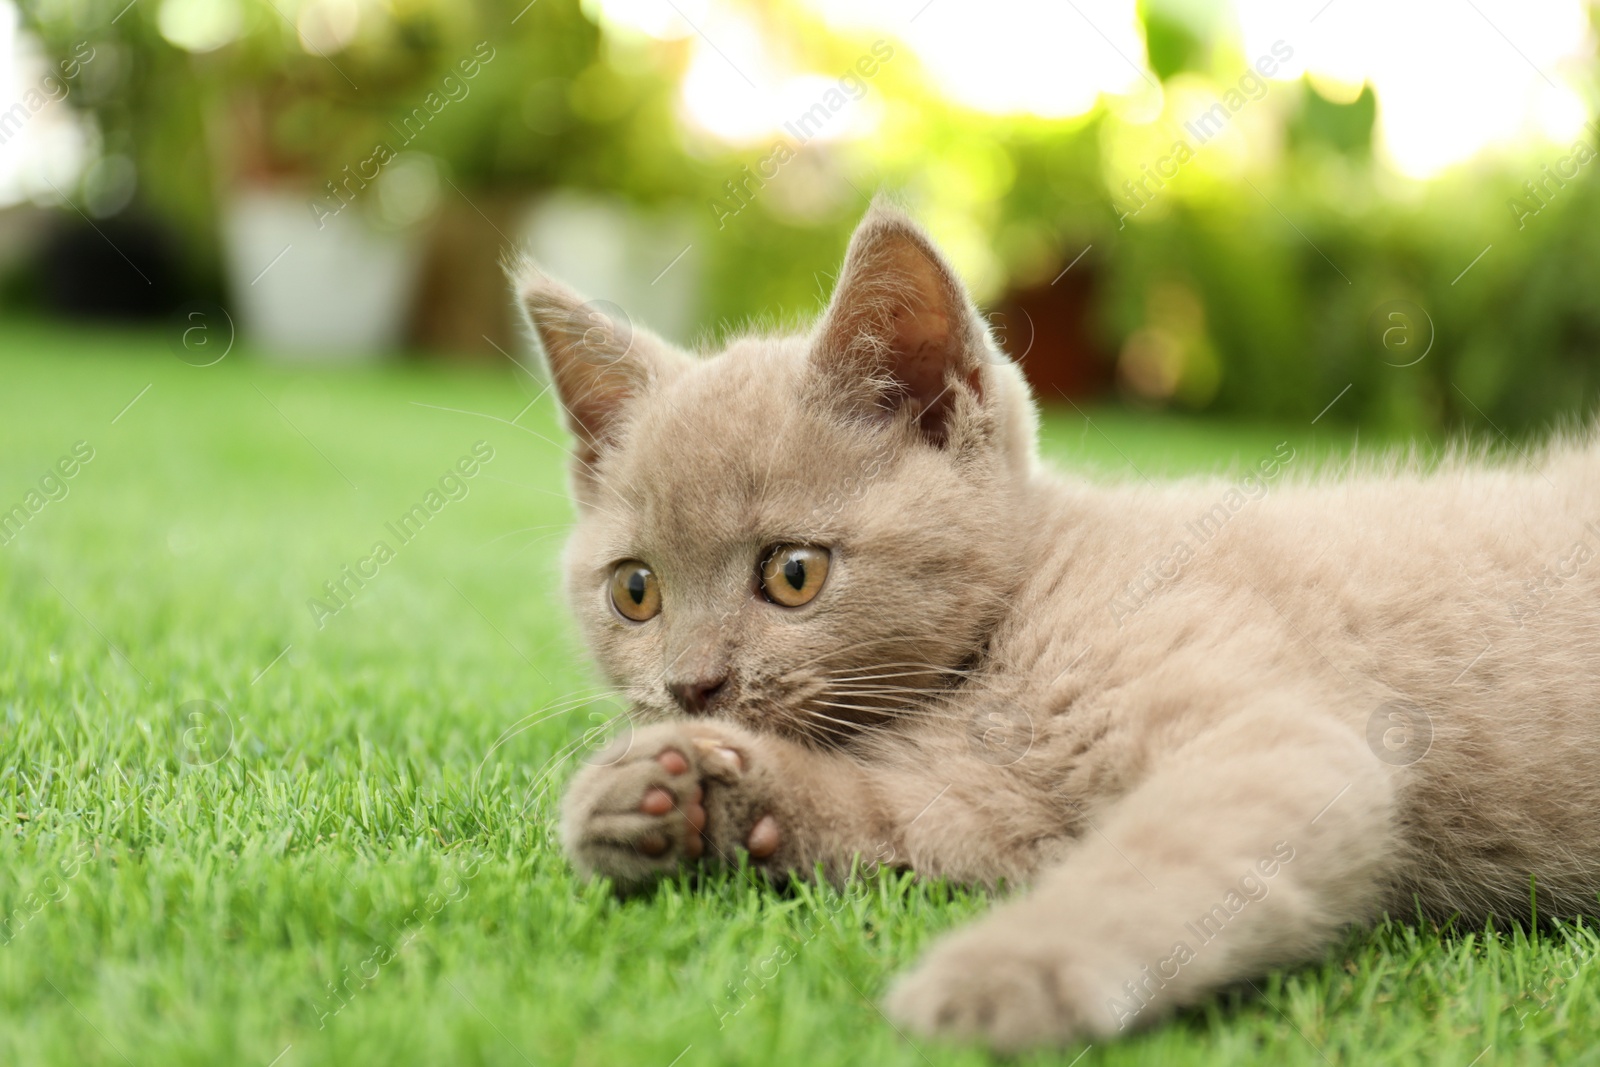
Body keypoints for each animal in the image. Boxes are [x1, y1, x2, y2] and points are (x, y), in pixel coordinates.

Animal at [518, 199, 1600, 1049]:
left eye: (793, 574)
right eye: (635, 591)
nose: (691, 684)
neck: (1002, 645)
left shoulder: (1273, 735)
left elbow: (1153, 859)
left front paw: (1005, 973)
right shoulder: (990, 811)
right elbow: (901, 820)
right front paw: (661, 791)